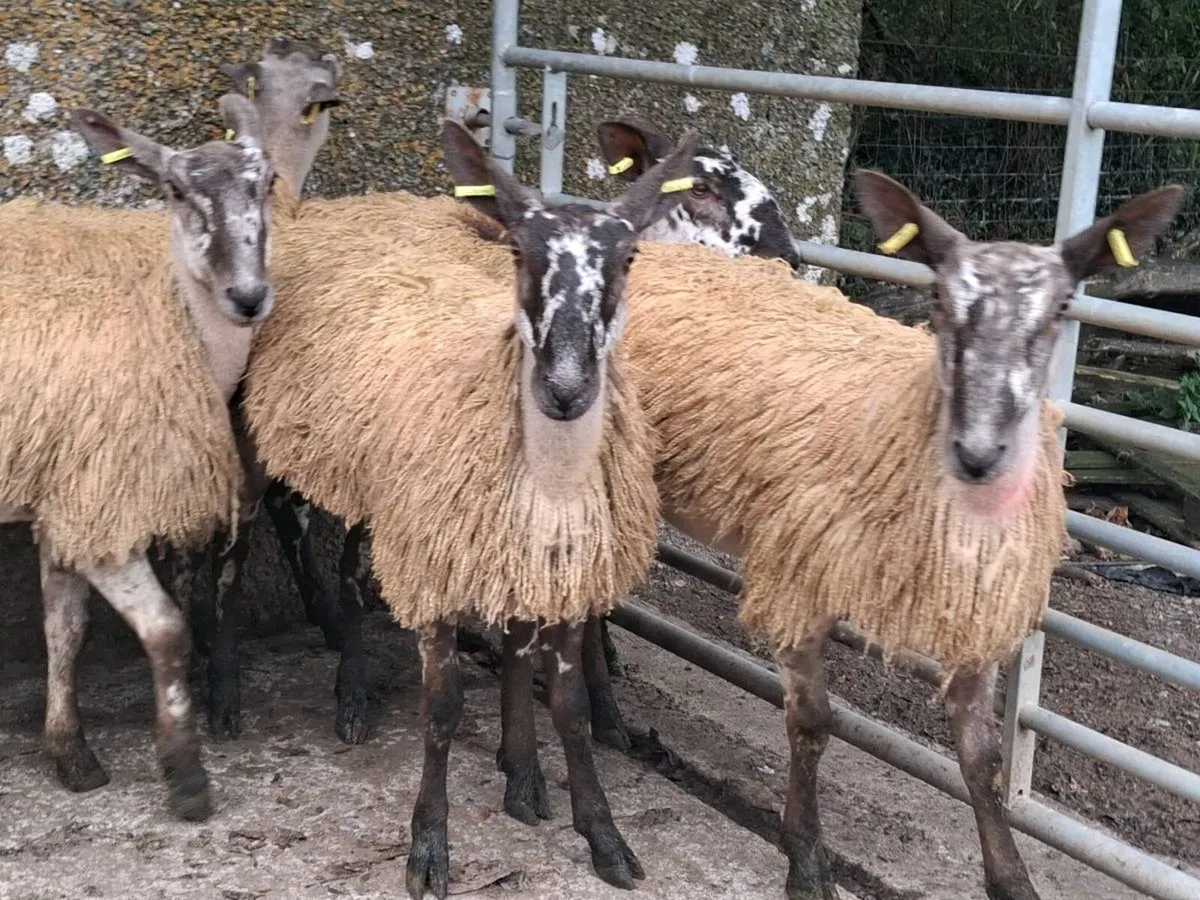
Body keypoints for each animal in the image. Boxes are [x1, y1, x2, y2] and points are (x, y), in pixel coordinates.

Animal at [0, 93, 277, 821]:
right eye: (176, 191)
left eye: (267, 184)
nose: (248, 298)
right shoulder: (107, 500)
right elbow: (166, 631)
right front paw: (186, 776)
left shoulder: (71, 497)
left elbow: (65, 627)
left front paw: (70, 753)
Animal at [239, 119, 699, 897]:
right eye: (518, 250)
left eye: (629, 256)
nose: (566, 389)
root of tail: (366, 200)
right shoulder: (435, 563)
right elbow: (443, 708)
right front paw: (428, 845)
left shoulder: (558, 575)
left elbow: (570, 710)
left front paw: (602, 835)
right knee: (309, 557)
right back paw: (325, 697)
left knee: (357, 571)